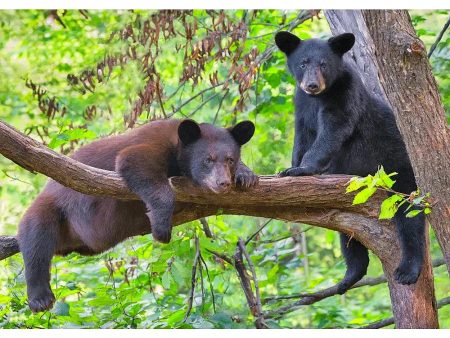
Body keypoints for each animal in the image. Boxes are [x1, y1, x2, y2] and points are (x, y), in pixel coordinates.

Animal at [17, 118, 258, 312]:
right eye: (208, 159)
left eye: (230, 159)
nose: (223, 183)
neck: (178, 148)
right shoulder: (153, 142)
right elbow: (132, 160)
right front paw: (161, 226)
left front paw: (246, 175)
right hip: (50, 207)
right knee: (36, 241)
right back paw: (40, 297)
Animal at [274, 31, 426, 294]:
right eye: (303, 63)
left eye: (323, 64)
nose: (312, 85)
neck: (320, 96)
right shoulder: (302, 106)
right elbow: (302, 136)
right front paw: (293, 165)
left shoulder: (345, 94)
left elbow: (333, 129)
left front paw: (301, 169)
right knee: (348, 232)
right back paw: (350, 275)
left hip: (402, 171)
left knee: (409, 217)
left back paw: (407, 270)